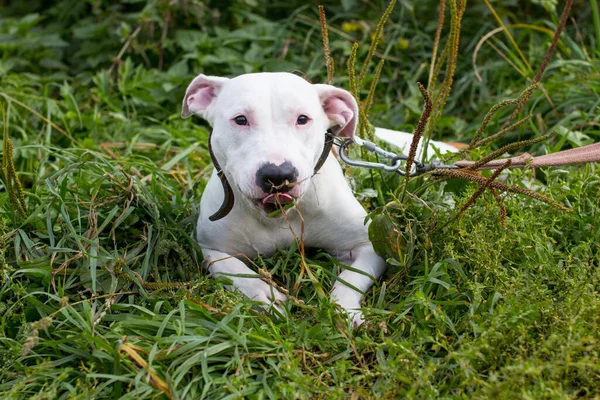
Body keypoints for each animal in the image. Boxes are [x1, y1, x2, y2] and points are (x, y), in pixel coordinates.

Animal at [182, 73, 390, 326]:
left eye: (302, 119)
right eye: (240, 119)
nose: (278, 174)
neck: (277, 215)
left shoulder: (369, 245)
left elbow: (352, 278)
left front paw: (343, 309)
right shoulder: (210, 248)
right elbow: (234, 270)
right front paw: (265, 295)